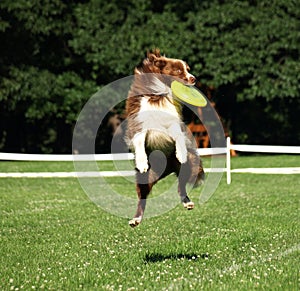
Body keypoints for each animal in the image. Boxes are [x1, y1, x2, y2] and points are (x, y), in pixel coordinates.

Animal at [124, 49, 204, 228]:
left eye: (188, 69)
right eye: (178, 70)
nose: (193, 78)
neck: (161, 94)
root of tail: (166, 168)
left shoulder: (172, 121)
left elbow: (178, 134)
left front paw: (181, 152)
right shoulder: (139, 123)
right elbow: (139, 141)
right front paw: (142, 162)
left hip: (191, 163)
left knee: (181, 185)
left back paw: (187, 202)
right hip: (145, 178)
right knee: (142, 197)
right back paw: (136, 219)